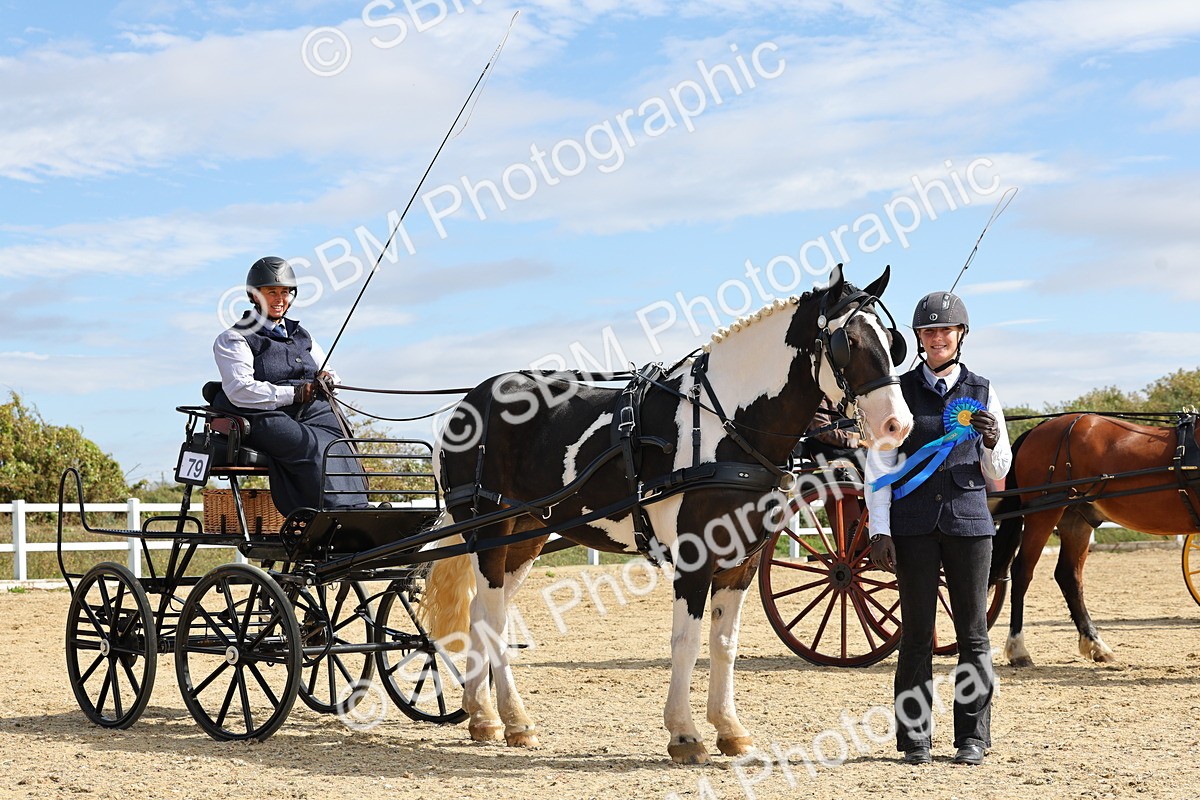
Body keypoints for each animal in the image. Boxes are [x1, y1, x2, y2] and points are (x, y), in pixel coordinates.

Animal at [417, 265, 913, 764]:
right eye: (848, 342)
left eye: (893, 342)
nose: (898, 425)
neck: (723, 426)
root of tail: (469, 402)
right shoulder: (695, 558)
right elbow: (687, 642)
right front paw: (684, 734)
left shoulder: (742, 563)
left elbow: (724, 643)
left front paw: (729, 728)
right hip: (488, 530)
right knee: (493, 619)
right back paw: (511, 717)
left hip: (524, 536)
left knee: (484, 611)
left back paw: (485, 715)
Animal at [989, 412, 1200, 667]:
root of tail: (1039, 428)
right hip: (1043, 515)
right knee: (1022, 572)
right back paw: (1018, 649)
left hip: (1076, 521)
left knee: (1068, 576)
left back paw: (1096, 644)